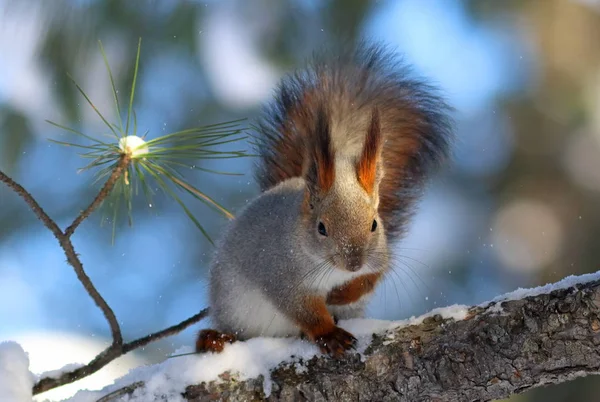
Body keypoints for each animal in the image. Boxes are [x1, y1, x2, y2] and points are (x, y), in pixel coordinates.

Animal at [195, 42, 452, 356]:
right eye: (321, 228)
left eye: (374, 224)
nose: (353, 264)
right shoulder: (282, 273)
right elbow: (305, 310)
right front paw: (329, 333)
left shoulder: (379, 256)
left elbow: (371, 278)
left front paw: (342, 294)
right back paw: (214, 338)